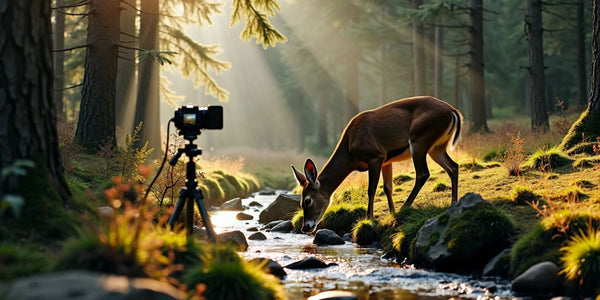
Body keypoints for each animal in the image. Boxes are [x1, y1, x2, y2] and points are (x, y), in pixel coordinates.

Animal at [292, 96, 464, 232]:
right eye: (300, 202)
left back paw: (405, 207)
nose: (305, 227)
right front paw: (391, 213)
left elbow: (372, 188)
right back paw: (453, 202)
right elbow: (388, 187)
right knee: (453, 166)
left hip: (420, 140)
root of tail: (453, 111)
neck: (350, 151)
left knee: (423, 173)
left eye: (307, 201)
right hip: (437, 147)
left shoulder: (375, 156)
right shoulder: (387, 160)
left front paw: (369, 218)